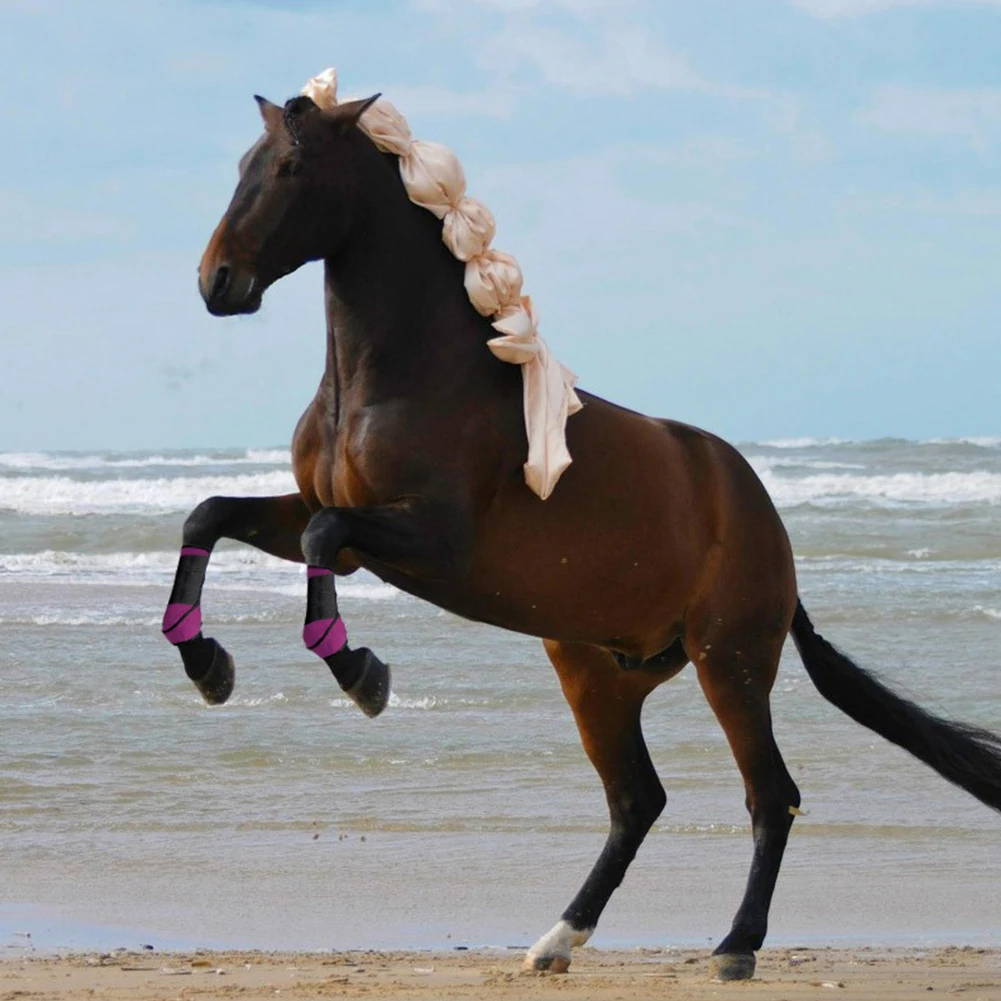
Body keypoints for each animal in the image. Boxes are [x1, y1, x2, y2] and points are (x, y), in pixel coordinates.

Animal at [163, 90, 1001, 981]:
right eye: (243, 164)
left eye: (289, 165)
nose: (217, 281)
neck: (397, 376)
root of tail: (764, 522)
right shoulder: (330, 522)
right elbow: (210, 512)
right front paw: (206, 663)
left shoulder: (428, 540)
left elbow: (321, 537)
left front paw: (361, 672)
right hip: (598, 672)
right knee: (636, 799)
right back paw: (555, 938)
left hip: (730, 661)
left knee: (768, 793)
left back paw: (735, 944)